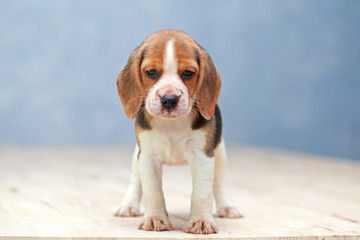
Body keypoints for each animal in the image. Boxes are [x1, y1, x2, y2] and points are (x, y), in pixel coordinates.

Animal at [114, 30, 240, 234]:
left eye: (188, 73)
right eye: (151, 72)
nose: (169, 99)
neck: (171, 124)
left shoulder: (203, 157)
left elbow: (201, 193)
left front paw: (200, 221)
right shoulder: (147, 157)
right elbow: (153, 192)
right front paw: (155, 219)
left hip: (220, 154)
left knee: (219, 184)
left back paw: (227, 207)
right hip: (136, 157)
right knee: (135, 182)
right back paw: (128, 205)